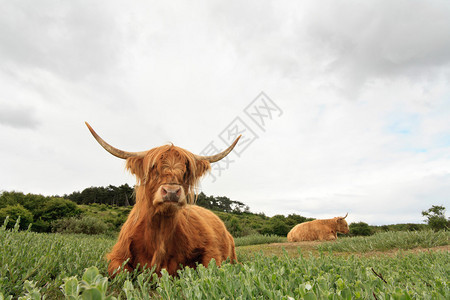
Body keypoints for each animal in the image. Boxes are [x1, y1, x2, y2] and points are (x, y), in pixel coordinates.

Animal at [84, 122, 239, 276]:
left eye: (185, 171)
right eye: (154, 168)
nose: (171, 192)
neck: (159, 233)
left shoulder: (211, 252)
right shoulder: (119, 255)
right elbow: (120, 271)